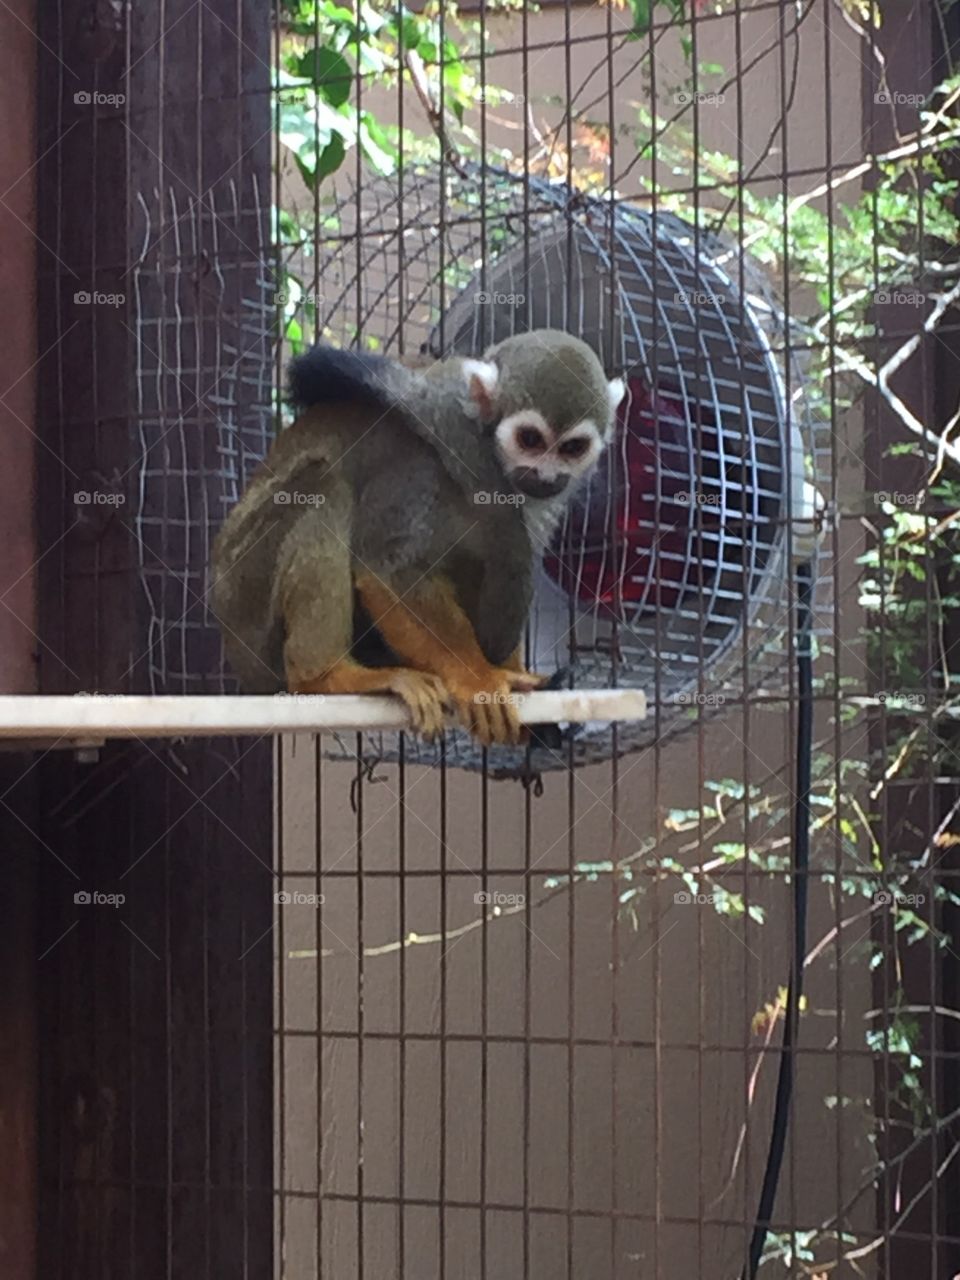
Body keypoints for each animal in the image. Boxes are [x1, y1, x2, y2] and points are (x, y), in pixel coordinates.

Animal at [210, 329, 626, 746]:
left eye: (572, 448)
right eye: (530, 439)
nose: (546, 476)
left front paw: (514, 677)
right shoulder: (420, 471)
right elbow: (388, 570)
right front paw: (476, 676)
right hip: (248, 604)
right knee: (323, 485)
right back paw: (325, 677)